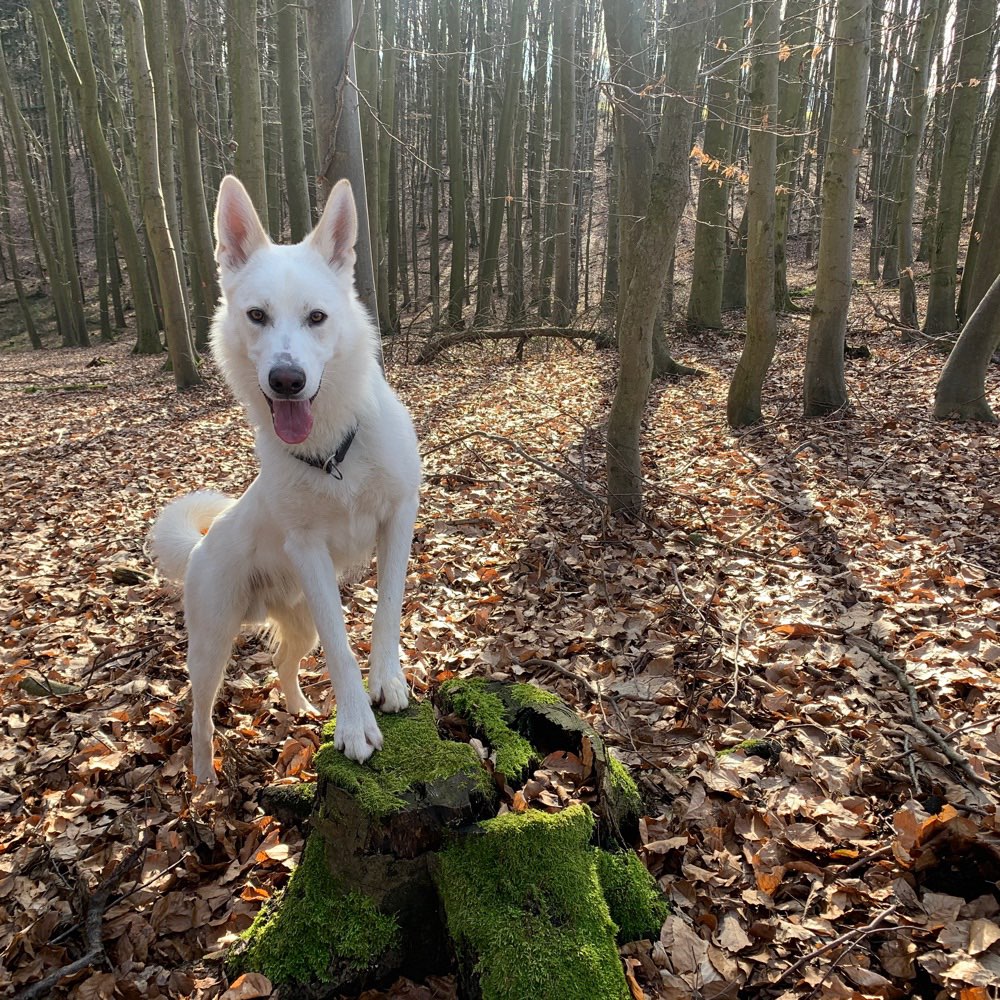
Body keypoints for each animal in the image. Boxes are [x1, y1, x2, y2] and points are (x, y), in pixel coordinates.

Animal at [147, 174, 418, 780]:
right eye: (257, 316)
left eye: (317, 317)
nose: (287, 380)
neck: (334, 451)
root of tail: (199, 545)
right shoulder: (310, 552)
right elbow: (343, 648)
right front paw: (355, 726)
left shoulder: (398, 519)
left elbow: (387, 611)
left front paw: (386, 683)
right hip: (211, 646)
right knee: (199, 715)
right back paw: (204, 781)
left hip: (299, 622)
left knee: (280, 662)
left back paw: (300, 710)